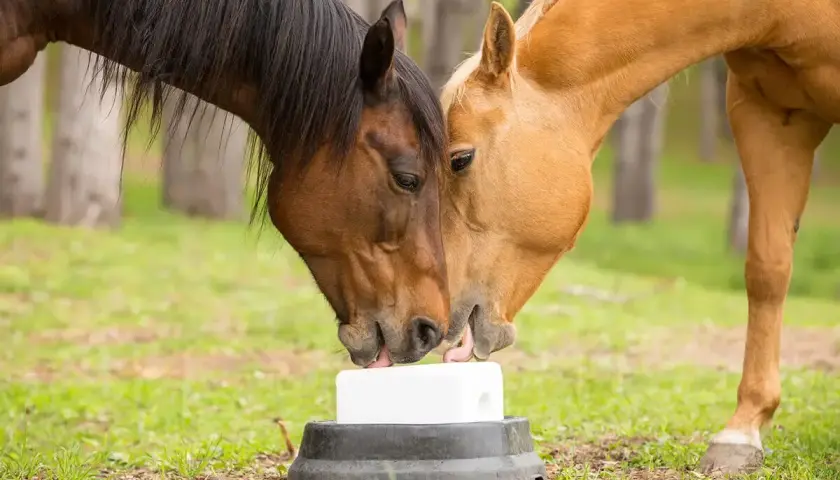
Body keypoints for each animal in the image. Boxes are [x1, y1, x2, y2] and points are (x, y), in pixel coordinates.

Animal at [437, 0, 838, 474]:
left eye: (460, 159)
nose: (436, 315)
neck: (779, 16)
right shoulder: (768, 114)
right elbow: (767, 271)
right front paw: (741, 432)